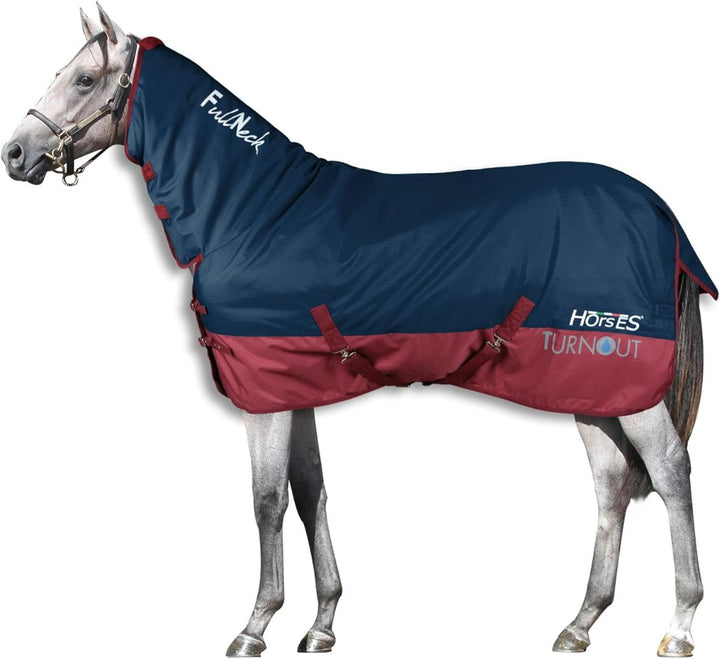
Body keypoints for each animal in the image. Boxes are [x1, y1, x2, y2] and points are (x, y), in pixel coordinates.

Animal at [2, 6, 715, 657]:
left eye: (85, 78)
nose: (15, 154)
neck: (253, 215)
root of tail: (657, 211)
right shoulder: (294, 386)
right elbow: (310, 491)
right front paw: (321, 624)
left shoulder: (266, 394)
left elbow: (266, 500)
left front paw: (255, 626)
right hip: (589, 385)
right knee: (612, 482)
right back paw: (579, 623)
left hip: (628, 377)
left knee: (670, 469)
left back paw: (679, 625)